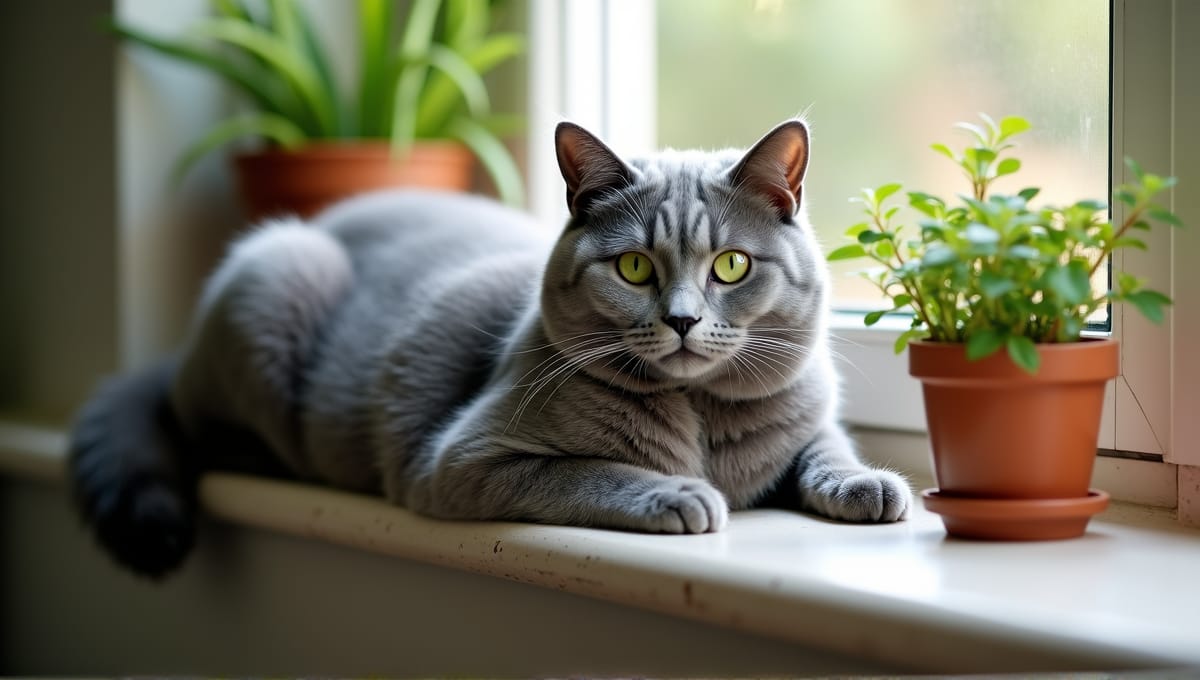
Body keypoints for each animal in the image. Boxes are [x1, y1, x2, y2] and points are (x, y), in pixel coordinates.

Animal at [68, 119, 907, 578]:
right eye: (634, 267)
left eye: (731, 266)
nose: (682, 320)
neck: (701, 417)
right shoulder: (468, 459)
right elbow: (596, 471)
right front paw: (679, 493)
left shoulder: (807, 413)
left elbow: (824, 446)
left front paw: (869, 485)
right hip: (275, 275)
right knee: (209, 430)